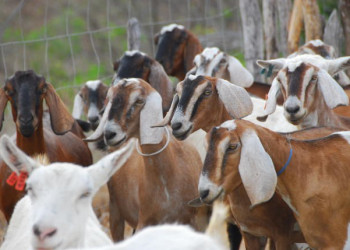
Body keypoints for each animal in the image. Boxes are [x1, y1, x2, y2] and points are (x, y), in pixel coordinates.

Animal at [85, 78, 208, 242]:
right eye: (109, 99)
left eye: (138, 100)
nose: (110, 134)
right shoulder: (144, 221)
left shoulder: (197, 222)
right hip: (115, 212)